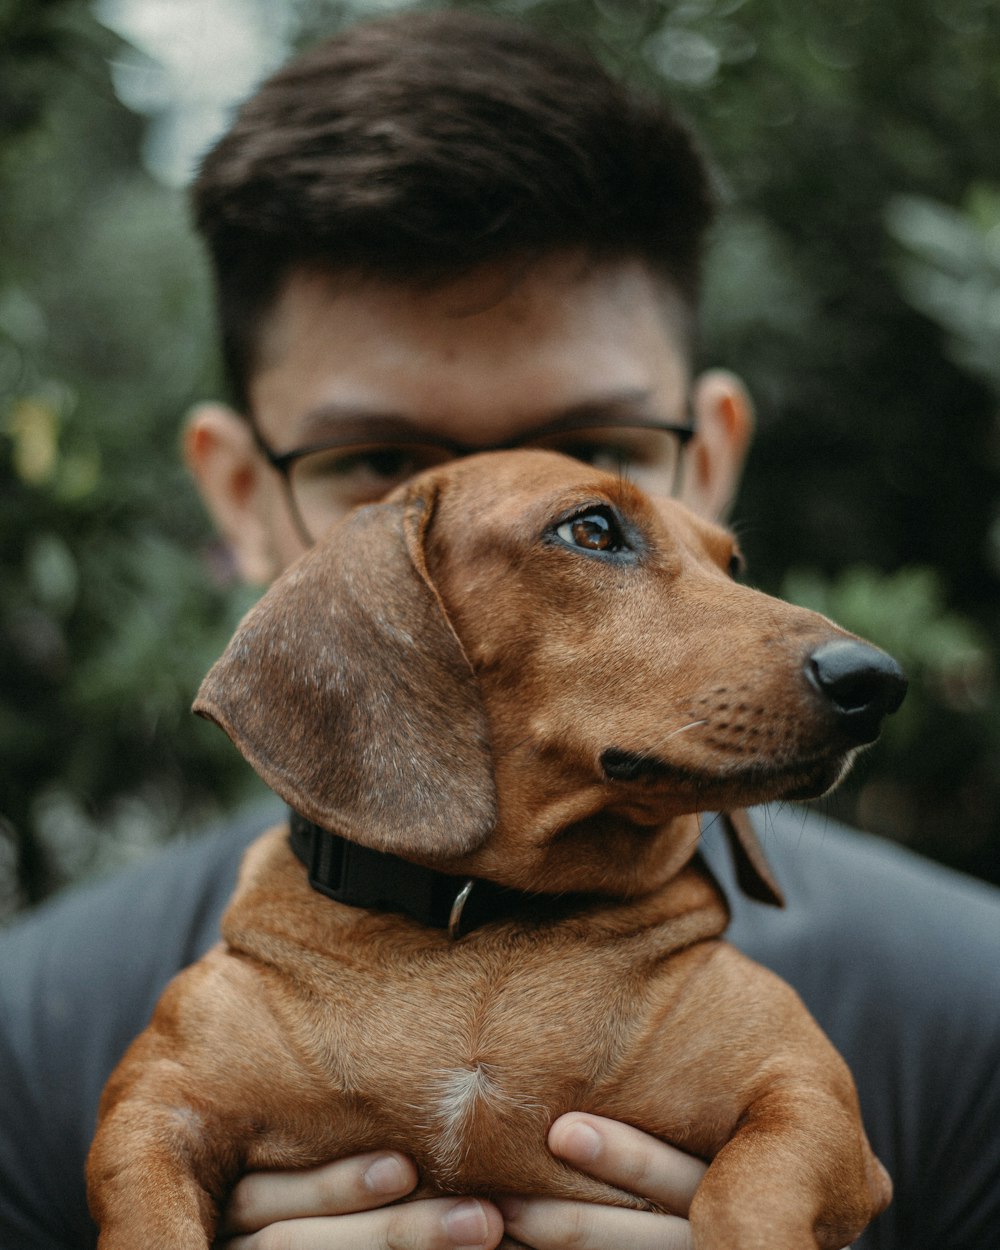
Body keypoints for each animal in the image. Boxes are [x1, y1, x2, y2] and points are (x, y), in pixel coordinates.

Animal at [88, 452, 905, 1250]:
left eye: (733, 563)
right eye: (592, 530)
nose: (876, 680)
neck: (484, 926)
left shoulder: (807, 1097)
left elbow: (746, 1200)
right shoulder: (152, 1113)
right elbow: (149, 1212)